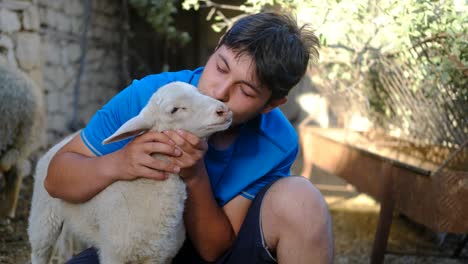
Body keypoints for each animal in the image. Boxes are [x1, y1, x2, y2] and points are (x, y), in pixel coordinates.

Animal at [27, 82, 232, 264]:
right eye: (174, 110)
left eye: (199, 91)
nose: (223, 110)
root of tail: (61, 142)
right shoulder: (114, 254)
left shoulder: (160, 256)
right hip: (43, 217)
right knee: (39, 251)